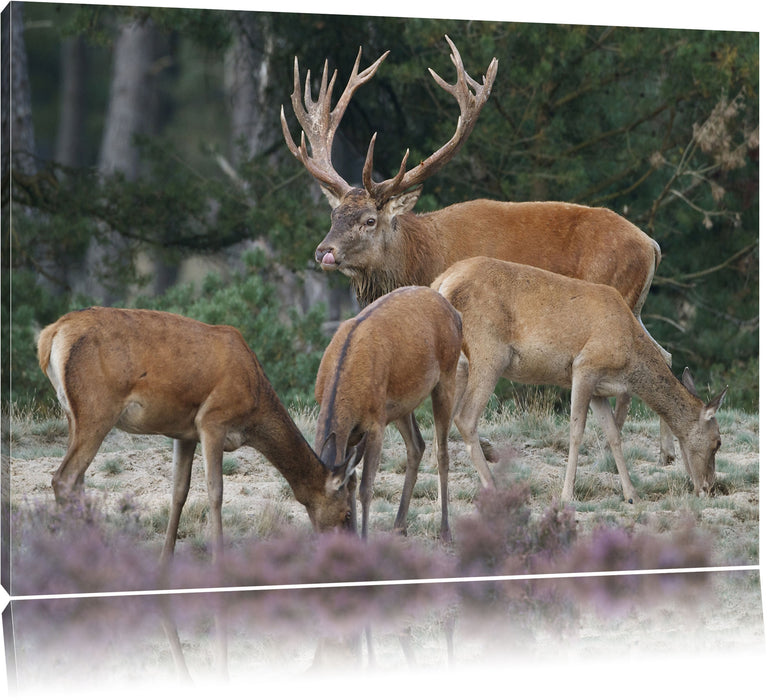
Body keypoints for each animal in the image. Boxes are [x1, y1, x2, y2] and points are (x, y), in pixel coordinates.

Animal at [38, 306, 360, 564]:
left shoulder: (184, 433)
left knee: (77, 481)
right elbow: (215, 491)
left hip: (72, 414)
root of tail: (49, 336)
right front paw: (219, 557)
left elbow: (179, 491)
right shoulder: (212, 420)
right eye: (346, 512)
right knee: (64, 478)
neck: (255, 402)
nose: (344, 551)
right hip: (97, 409)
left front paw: (165, 558)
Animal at [282, 34, 676, 464]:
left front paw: (476, 448)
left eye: (370, 220)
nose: (324, 251)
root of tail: (652, 245)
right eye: (334, 213)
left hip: (616, 294)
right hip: (635, 303)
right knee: (664, 354)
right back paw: (667, 451)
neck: (423, 258)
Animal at [314, 284, 460, 540]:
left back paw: (445, 530)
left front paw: (364, 539)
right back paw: (399, 525)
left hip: (446, 376)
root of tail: (456, 314)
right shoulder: (353, 433)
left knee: (442, 452)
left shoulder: (375, 423)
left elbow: (366, 488)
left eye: (342, 513)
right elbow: (350, 482)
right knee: (417, 446)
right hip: (400, 406)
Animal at [430, 258, 728, 504]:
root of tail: (442, 282)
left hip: (460, 364)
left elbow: (614, 434)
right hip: (489, 353)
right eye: (717, 442)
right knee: (465, 418)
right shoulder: (585, 366)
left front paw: (631, 494)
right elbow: (576, 432)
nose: (708, 488)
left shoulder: (599, 390)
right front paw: (567, 494)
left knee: (444, 421)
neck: (629, 358)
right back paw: (493, 487)